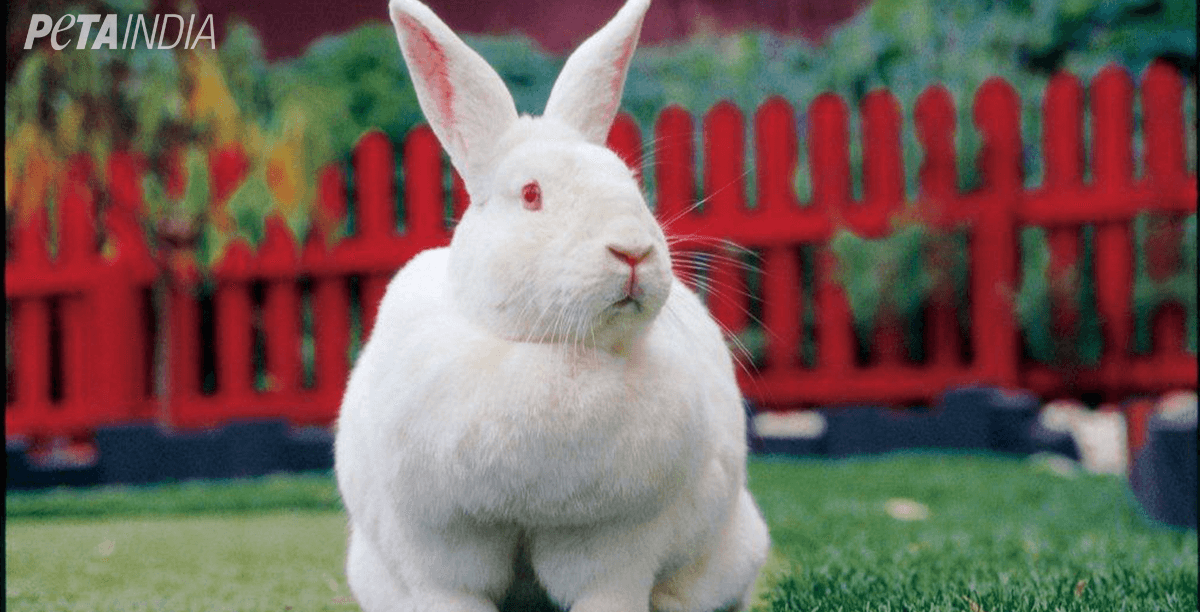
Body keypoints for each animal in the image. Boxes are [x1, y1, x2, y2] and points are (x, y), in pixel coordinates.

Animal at [334, 1, 771, 611]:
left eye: (628, 182)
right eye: (532, 194)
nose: (632, 250)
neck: (548, 350)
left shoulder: (611, 546)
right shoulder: (441, 549)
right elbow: (450, 587)